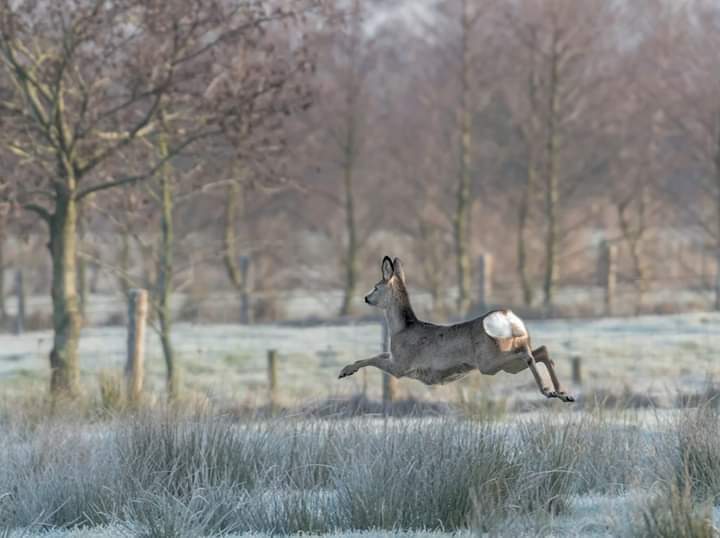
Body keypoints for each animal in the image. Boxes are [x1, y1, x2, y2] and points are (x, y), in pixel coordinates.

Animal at [336, 253, 572, 400]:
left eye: (376, 287)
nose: (366, 298)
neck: (402, 329)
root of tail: (506, 318)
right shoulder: (396, 358)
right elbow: (377, 354)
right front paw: (347, 370)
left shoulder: (401, 365)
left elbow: (375, 359)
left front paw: (344, 372)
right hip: (509, 358)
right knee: (541, 350)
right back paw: (563, 393)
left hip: (489, 361)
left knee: (529, 355)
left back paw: (548, 390)